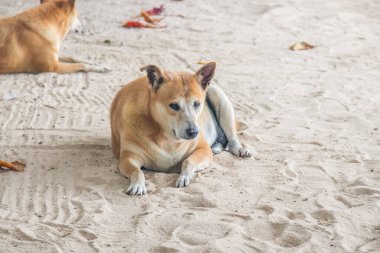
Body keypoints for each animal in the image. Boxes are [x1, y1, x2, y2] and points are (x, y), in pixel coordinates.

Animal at [110, 62, 252, 196]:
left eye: (197, 104)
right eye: (174, 105)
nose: (194, 132)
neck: (167, 138)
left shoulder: (203, 149)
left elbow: (188, 161)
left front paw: (184, 177)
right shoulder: (128, 157)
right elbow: (137, 171)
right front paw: (137, 184)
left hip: (220, 97)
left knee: (232, 137)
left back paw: (238, 149)